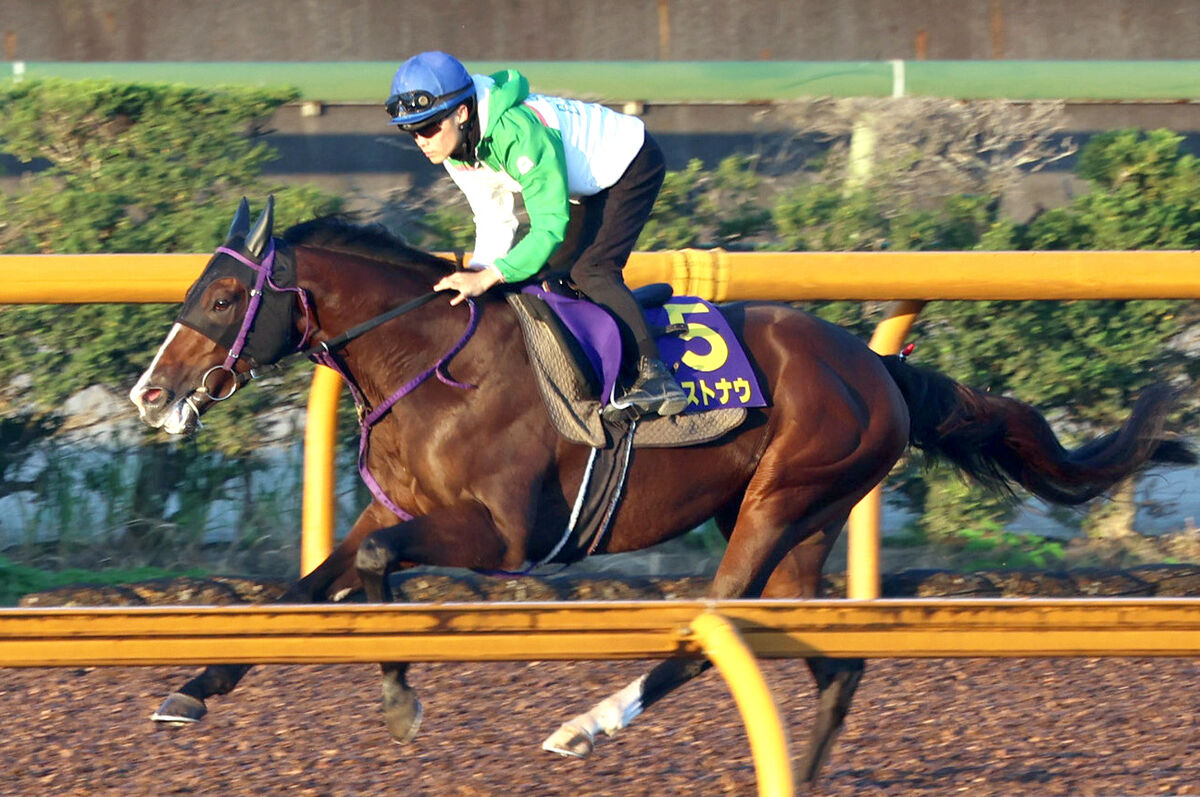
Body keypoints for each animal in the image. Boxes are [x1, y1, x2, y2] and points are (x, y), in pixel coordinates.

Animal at [126, 198, 1195, 782]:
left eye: (223, 296)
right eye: (193, 288)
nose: (149, 394)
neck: (434, 361)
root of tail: (882, 368)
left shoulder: (504, 538)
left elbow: (381, 567)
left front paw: (400, 701)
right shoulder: (392, 510)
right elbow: (311, 585)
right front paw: (191, 690)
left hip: (777, 502)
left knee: (711, 625)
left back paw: (589, 724)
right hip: (805, 519)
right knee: (836, 662)